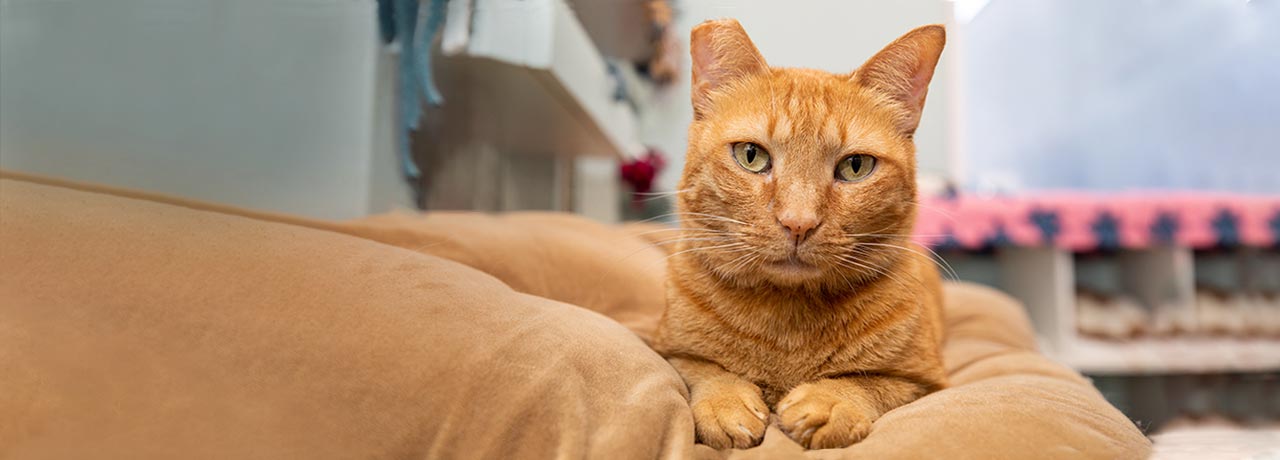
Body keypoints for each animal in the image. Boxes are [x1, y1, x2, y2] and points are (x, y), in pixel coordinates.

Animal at [655, 20, 947, 451]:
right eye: (751, 156)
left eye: (856, 166)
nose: (798, 222)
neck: (788, 322)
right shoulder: (664, 349)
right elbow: (700, 368)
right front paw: (725, 401)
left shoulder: (929, 382)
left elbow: (871, 384)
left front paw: (829, 401)